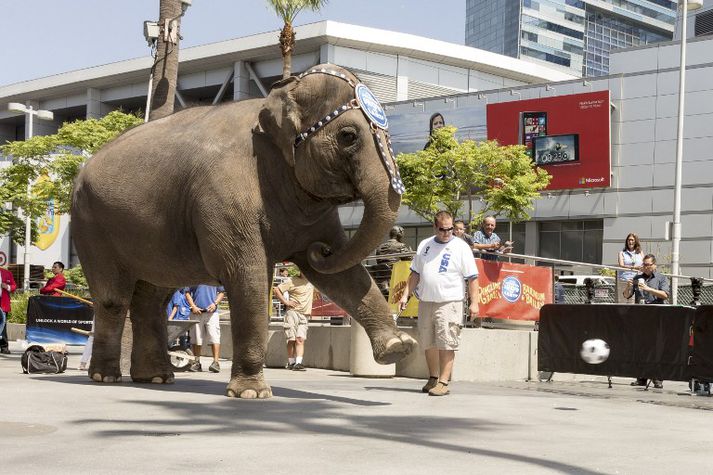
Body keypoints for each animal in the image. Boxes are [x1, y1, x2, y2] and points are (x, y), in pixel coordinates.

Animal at [71, 63, 418, 398]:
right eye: (348, 135)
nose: (321, 250)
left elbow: (342, 275)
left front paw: (399, 347)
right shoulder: (224, 194)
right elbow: (247, 275)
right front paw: (252, 393)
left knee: (152, 298)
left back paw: (157, 377)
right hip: (90, 224)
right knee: (114, 300)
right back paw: (106, 377)